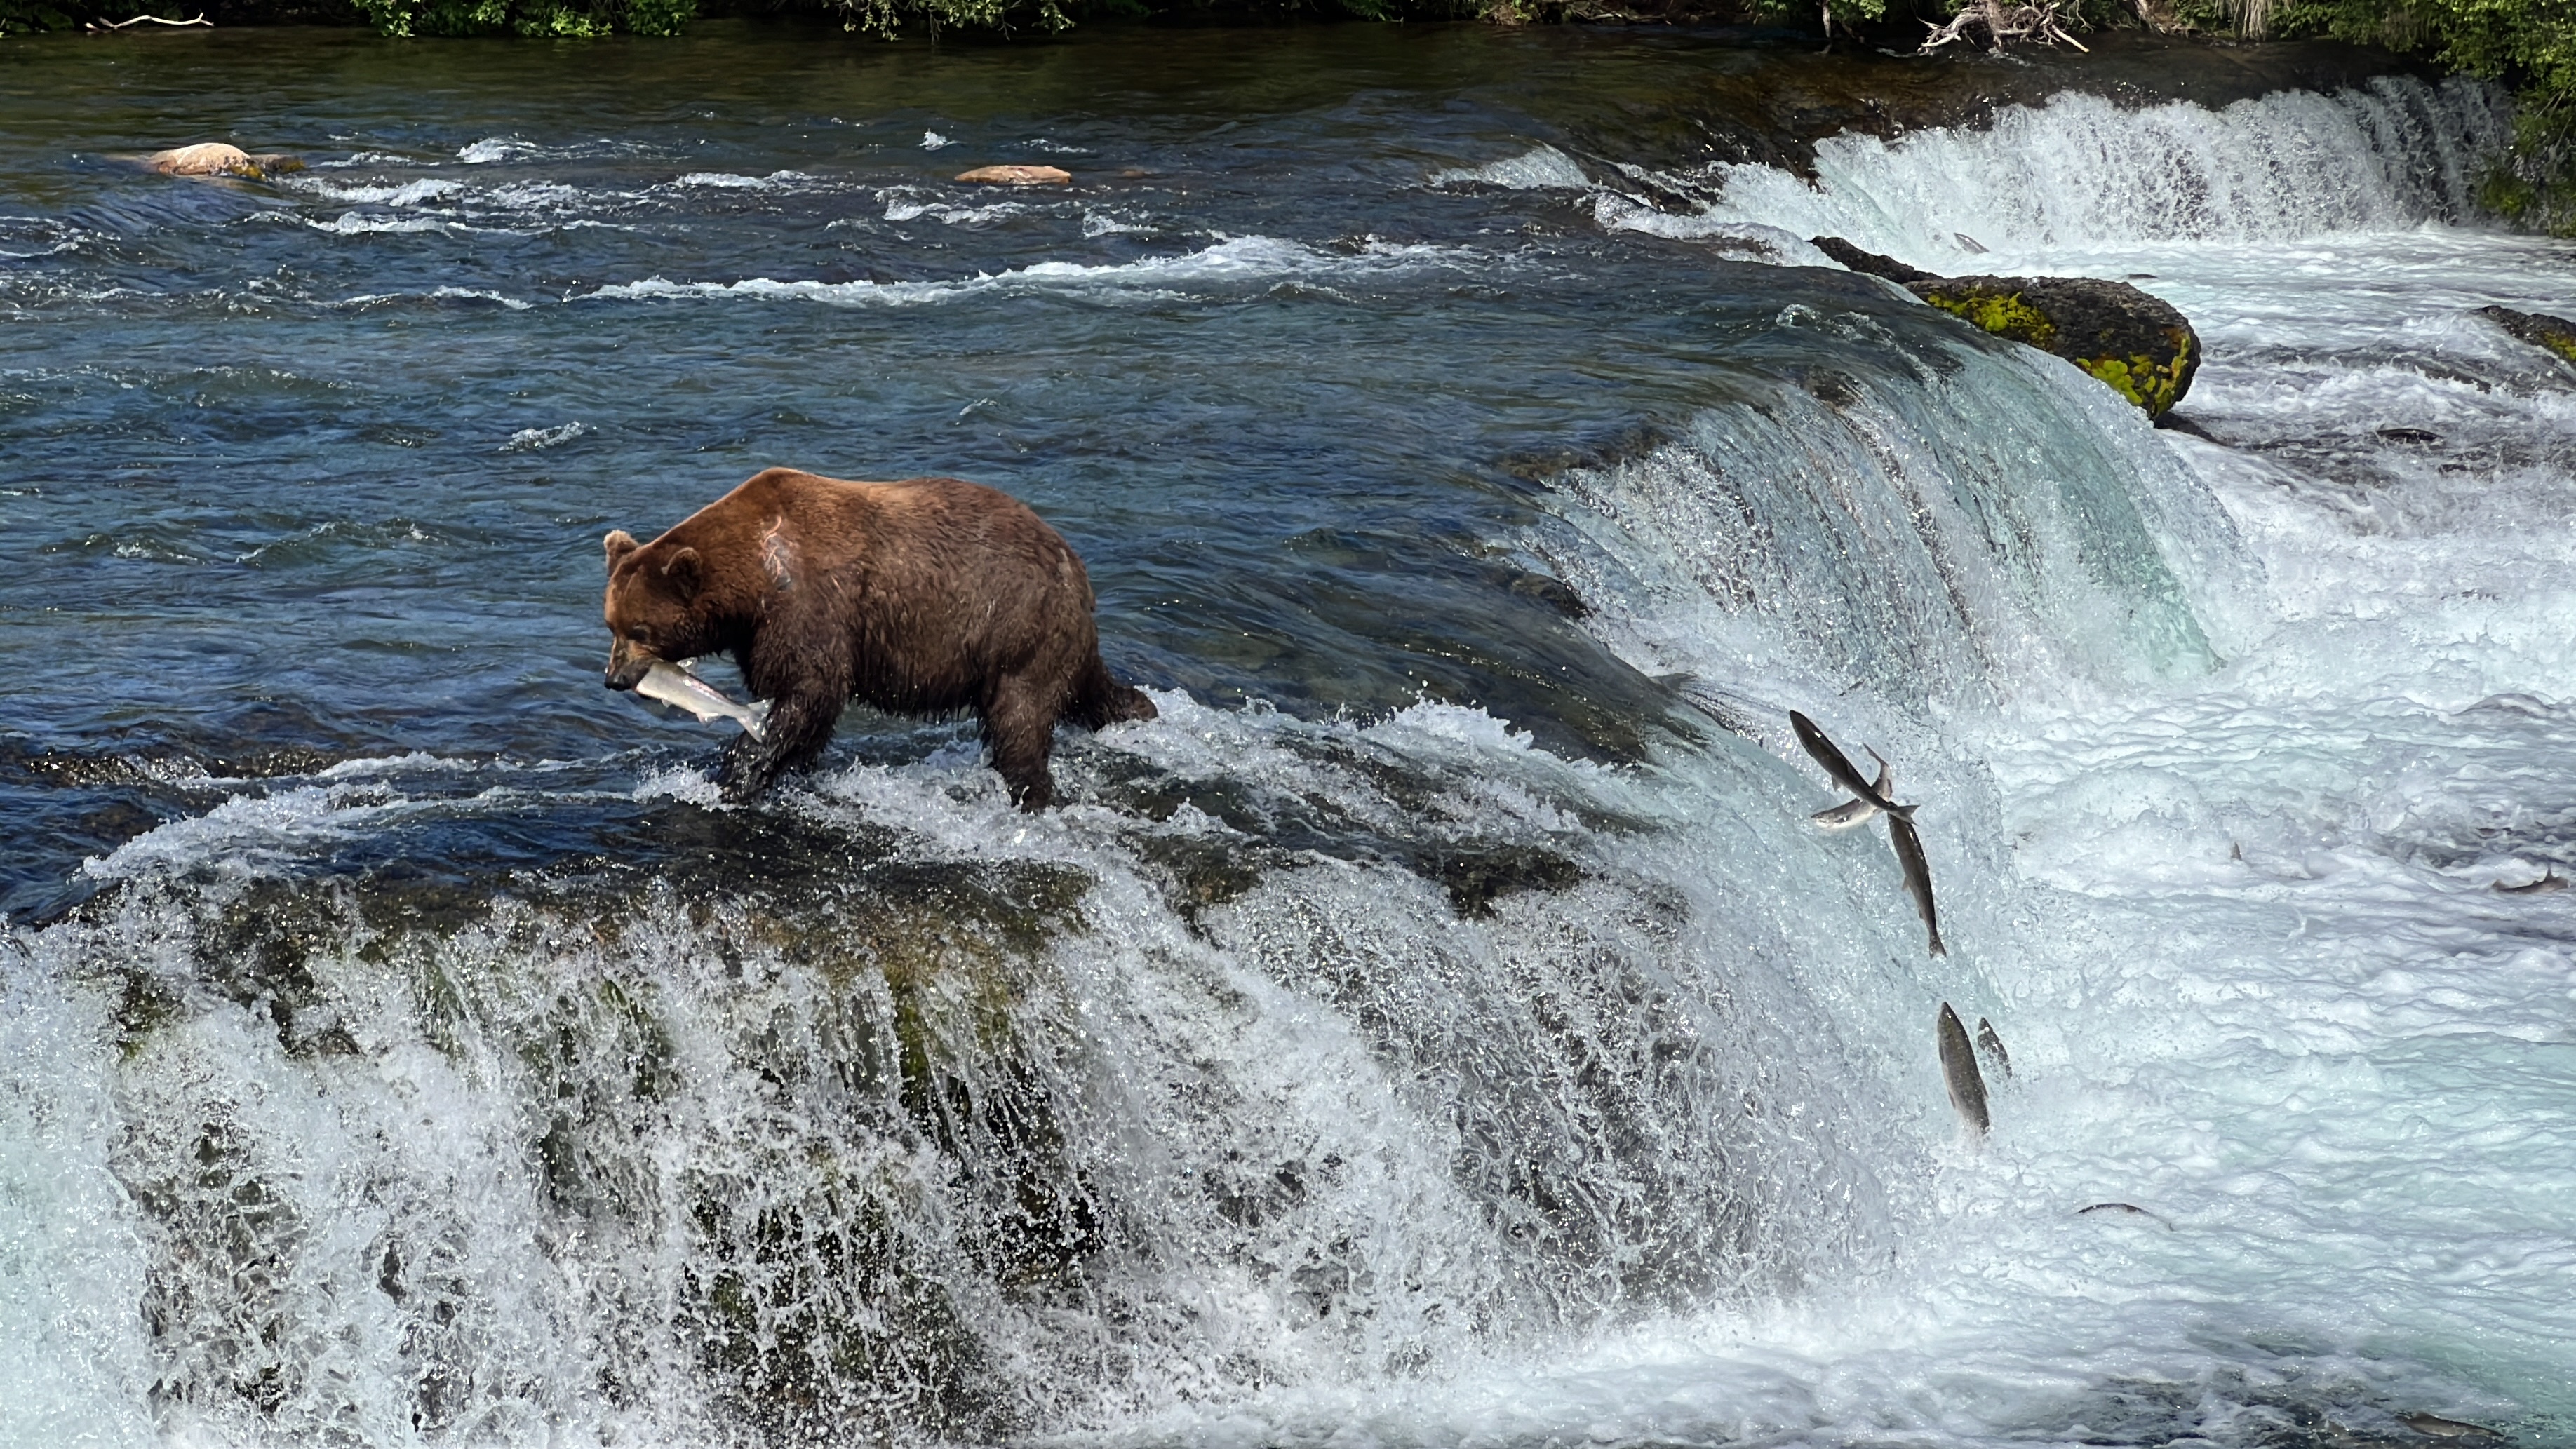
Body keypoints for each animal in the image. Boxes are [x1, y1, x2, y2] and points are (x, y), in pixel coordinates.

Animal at [602, 467, 1156, 809]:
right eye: (610, 624)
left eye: (639, 629)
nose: (614, 679)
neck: (752, 584)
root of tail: (1076, 569)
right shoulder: (758, 632)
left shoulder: (811, 606)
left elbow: (807, 689)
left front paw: (740, 774)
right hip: (1049, 639)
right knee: (1092, 691)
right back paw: (1140, 710)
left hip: (1015, 626)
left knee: (1020, 720)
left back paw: (1030, 791)